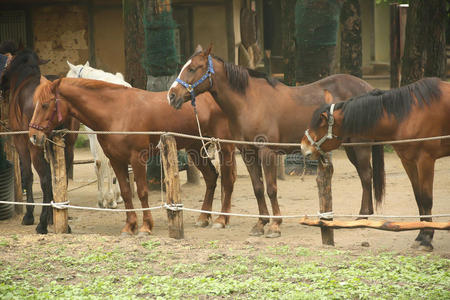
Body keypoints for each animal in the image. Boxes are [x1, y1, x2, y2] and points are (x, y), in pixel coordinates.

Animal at [0, 48, 79, 233]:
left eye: (6, 67)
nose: (1, 83)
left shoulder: (21, 141)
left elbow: (28, 175)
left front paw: (29, 216)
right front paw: (51, 216)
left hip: (35, 145)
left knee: (44, 179)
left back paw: (41, 223)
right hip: (68, 146)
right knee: (61, 179)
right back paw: (61, 221)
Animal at [28, 77, 237, 234]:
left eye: (45, 105)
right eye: (35, 104)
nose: (33, 136)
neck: (116, 112)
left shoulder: (137, 159)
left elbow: (142, 192)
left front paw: (146, 226)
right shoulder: (116, 161)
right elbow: (126, 192)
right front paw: (130, 226)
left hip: (224, 147)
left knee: (228, 179)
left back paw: (222, 220)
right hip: (196, 147)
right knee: (211, 177)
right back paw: (203, 218)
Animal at [167, 46, 384, 239]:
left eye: (193, 68)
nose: (171, 95)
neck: (249, 102)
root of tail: (368, 88)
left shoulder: (267, 152)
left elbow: (271, 189)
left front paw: (275, 225)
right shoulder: (248, 153)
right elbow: (258, 188)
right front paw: (260, 224)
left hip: (360, 146)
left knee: (366, 176)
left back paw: (361, 217)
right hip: (350, 147)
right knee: (365, 176)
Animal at [300, 77, 448, 251]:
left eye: (320, 124)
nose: (303, 148)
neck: (408, 114)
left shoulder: (425, 160)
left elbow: (426, 199)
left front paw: (427, 238)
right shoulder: (408, 161)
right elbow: (418, 198)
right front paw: (421, 235)